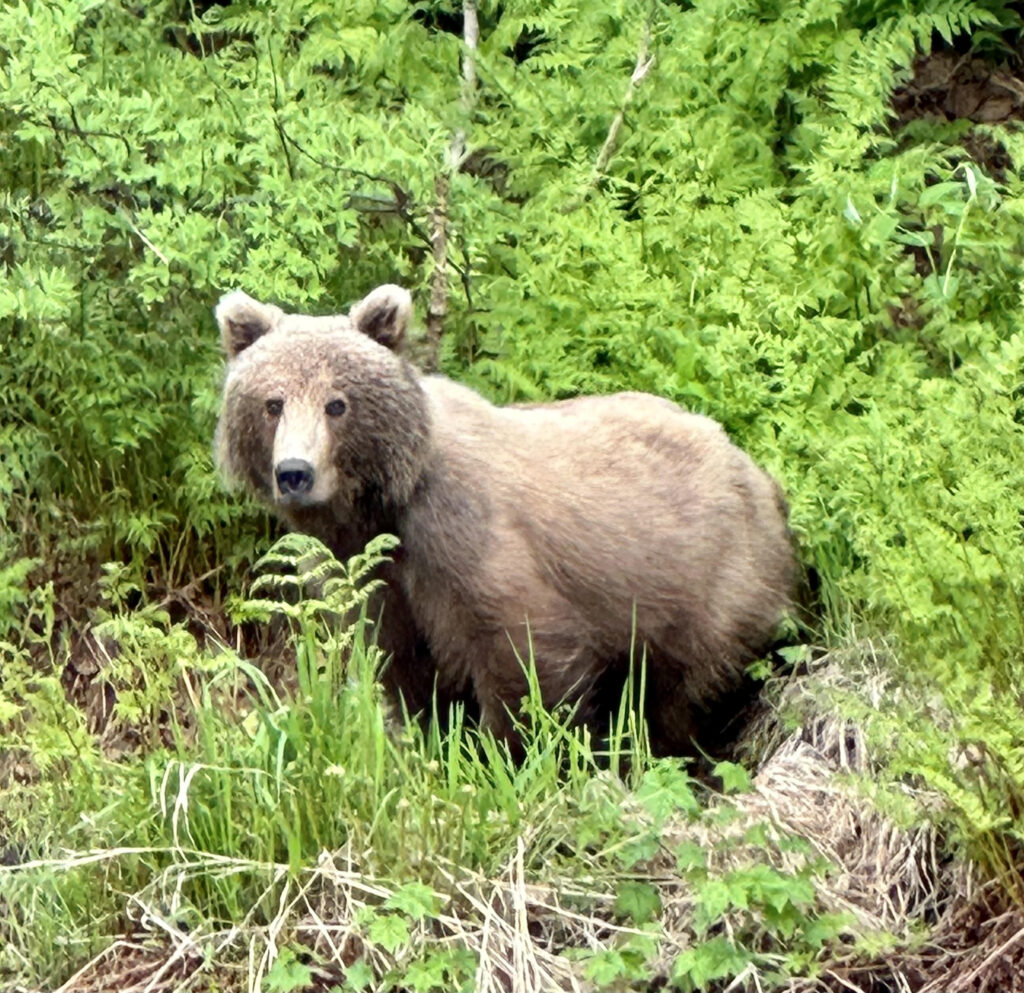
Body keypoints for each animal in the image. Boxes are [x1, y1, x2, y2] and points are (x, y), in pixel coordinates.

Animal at [214, 284, 796, 757]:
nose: (295, 472)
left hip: (712, 585)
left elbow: (524, 652)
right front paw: (436, 740)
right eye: (272, 403)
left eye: (337, 403)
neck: (386, 505)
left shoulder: (465, 536)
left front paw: (510, 752)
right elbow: (403, 664)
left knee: (683, 696)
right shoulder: (375, 576)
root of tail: (756, 472)